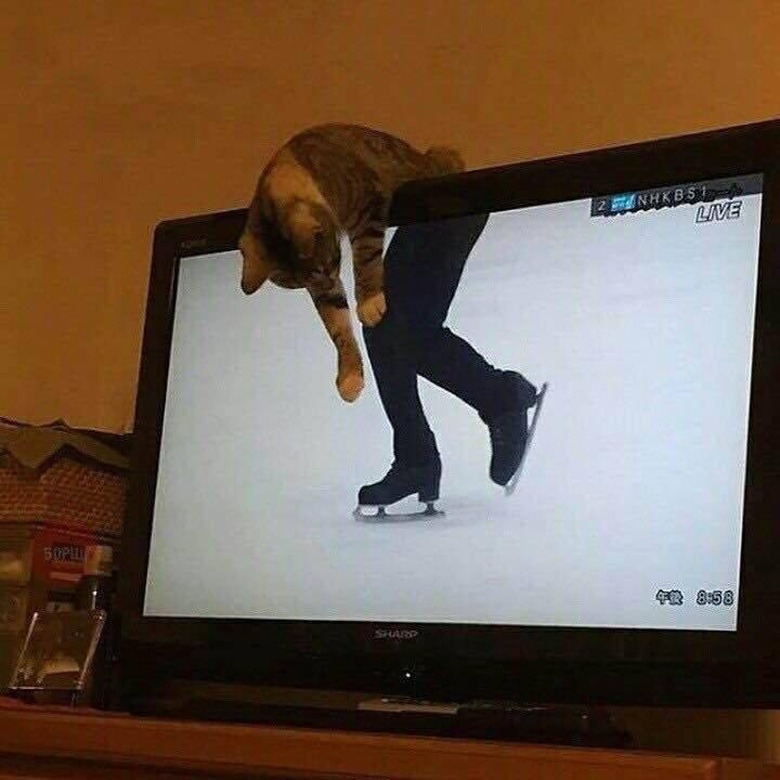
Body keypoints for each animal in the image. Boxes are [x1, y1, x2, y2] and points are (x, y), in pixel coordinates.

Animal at [239, 123, 464, 402]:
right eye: (299, 284)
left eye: (327, 265)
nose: (327, 283)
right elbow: (336, 324)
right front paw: (350, 374)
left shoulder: (366, 205)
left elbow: (365, 257)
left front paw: (369, 302)